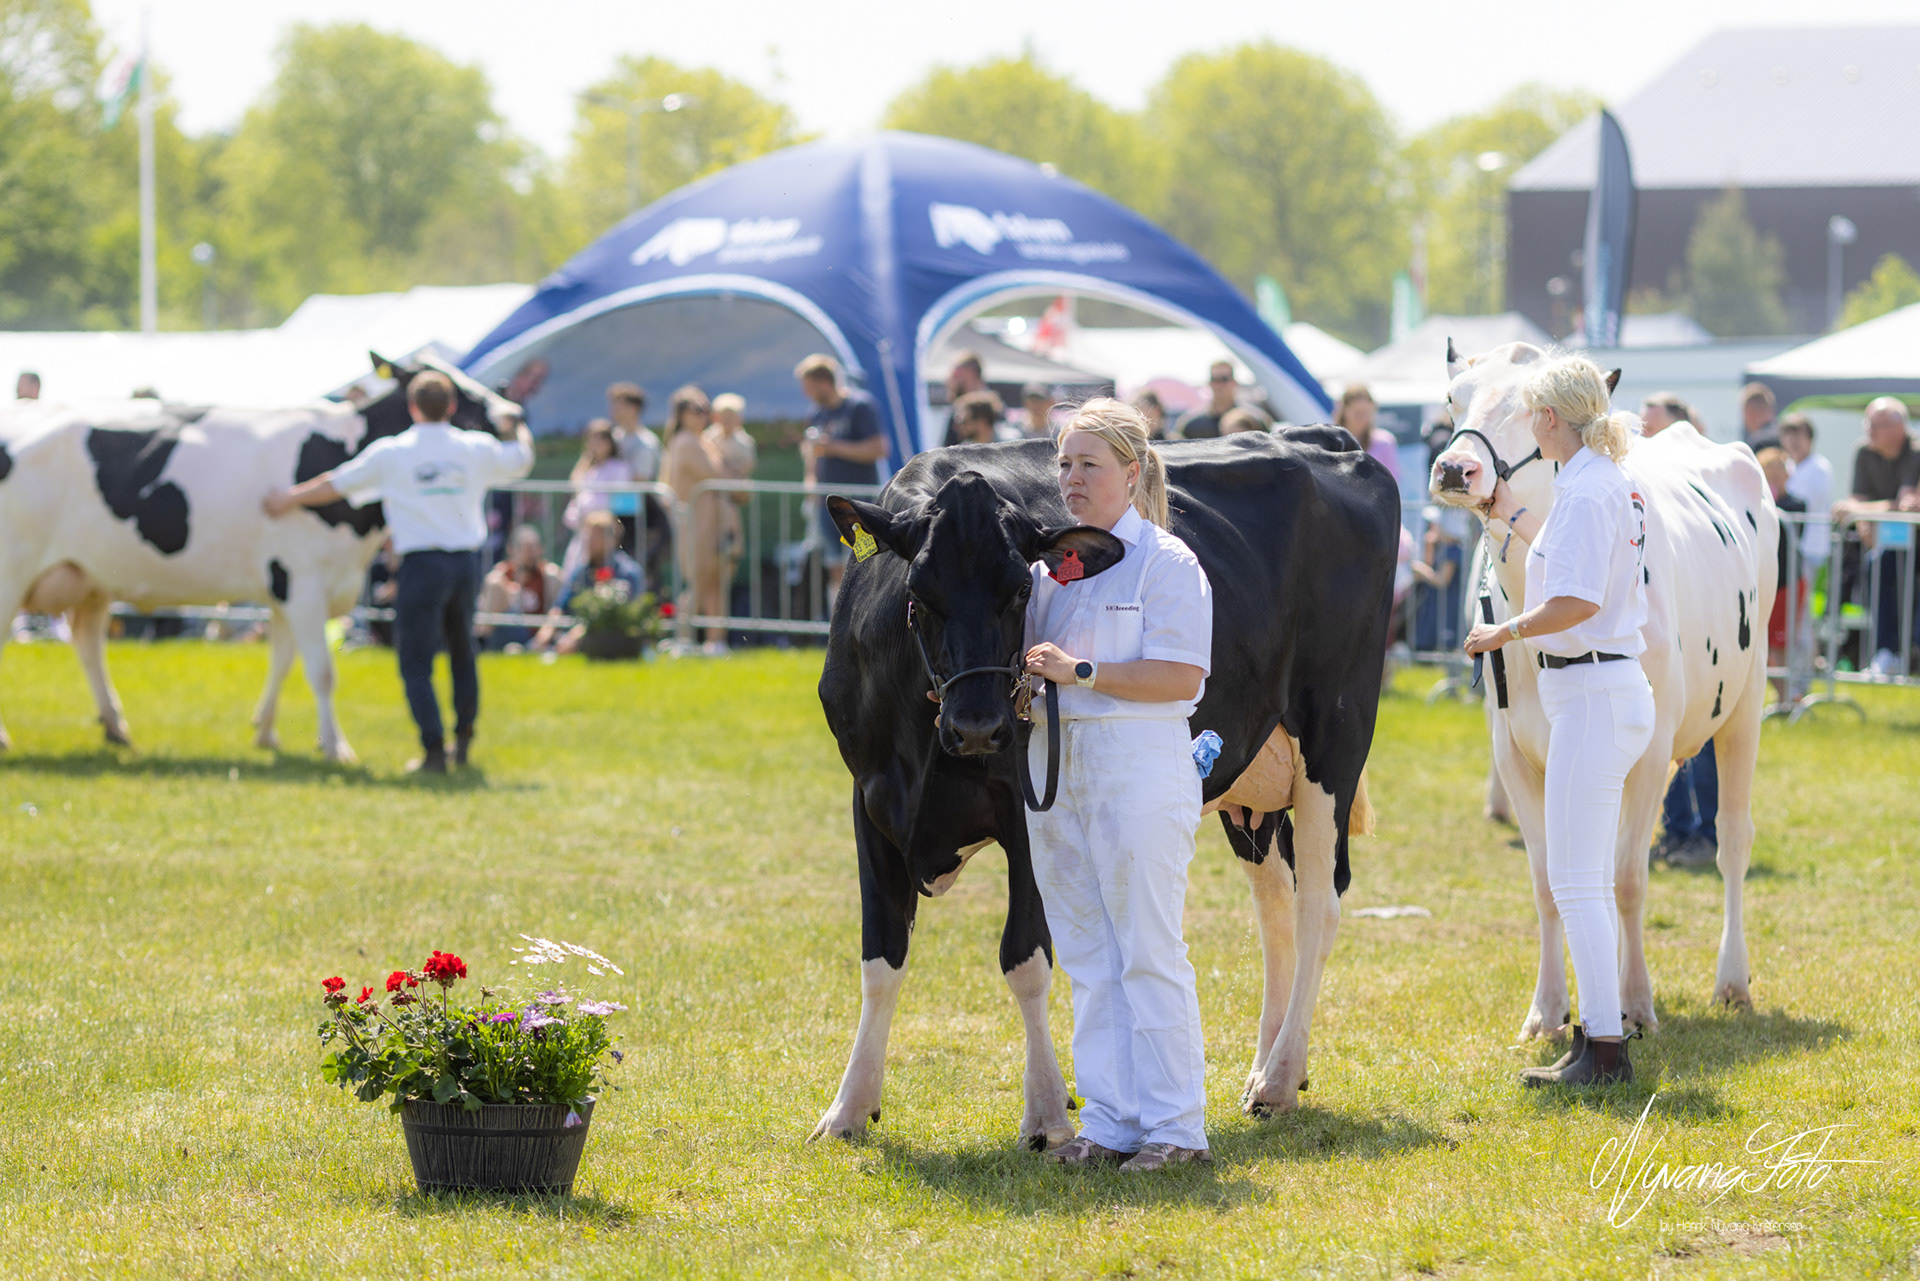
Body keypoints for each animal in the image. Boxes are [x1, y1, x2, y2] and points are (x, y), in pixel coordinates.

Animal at [0, 354, 514, 760]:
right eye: (452, 388)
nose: (512, 410)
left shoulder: (288, 585)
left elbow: (283, 660)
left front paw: (266, 733)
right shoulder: (303, 581)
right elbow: (321, 671)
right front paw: (336, 747)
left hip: (87, 577)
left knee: (87, 642)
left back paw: (115, 727)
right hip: (13, 572)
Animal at [811, 430, 1400, 1146]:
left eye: (1020, 591)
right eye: (919, 592)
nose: (978, 726)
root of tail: (1321, 438)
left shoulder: (1027, 811)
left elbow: (1025, 960)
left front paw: (1045, 1114)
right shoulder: (871, 801)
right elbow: (880, 958)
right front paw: (848, 1108)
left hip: (1335, 737)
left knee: (1319, 903)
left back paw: (1280, 1080)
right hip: (1252, 785)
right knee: (1276, 908)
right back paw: (1267, 1068)